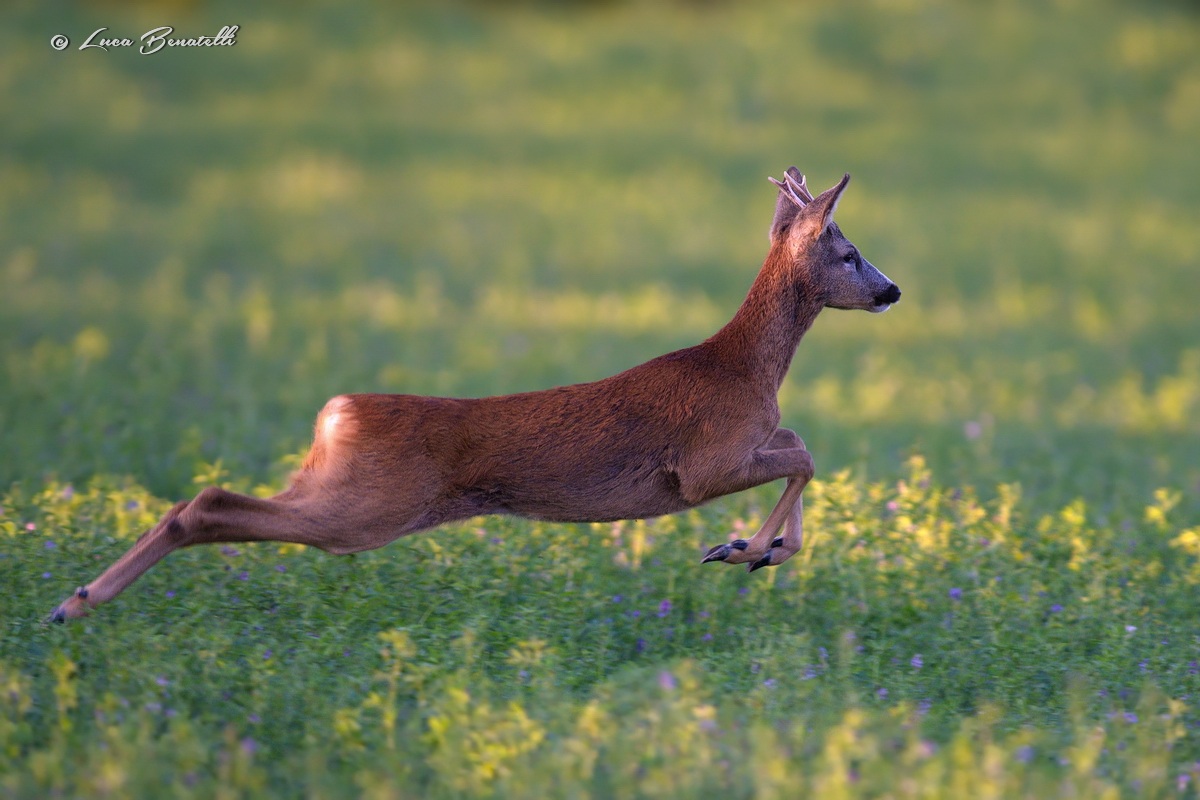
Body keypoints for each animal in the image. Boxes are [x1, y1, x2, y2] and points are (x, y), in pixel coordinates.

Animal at [50, 167, 900, 623]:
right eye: (850, 252)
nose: (891, 290)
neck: (746, 367)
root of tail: (336, 413)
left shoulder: (736, 449)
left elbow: (799, 446)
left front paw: (763, 551)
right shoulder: (702, 464)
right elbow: (805, 453)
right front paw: (746, 548)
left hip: (336, 485)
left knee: (208, 498)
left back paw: (74, 599)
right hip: (367, 507)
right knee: (209, 503)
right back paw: (77, 601)